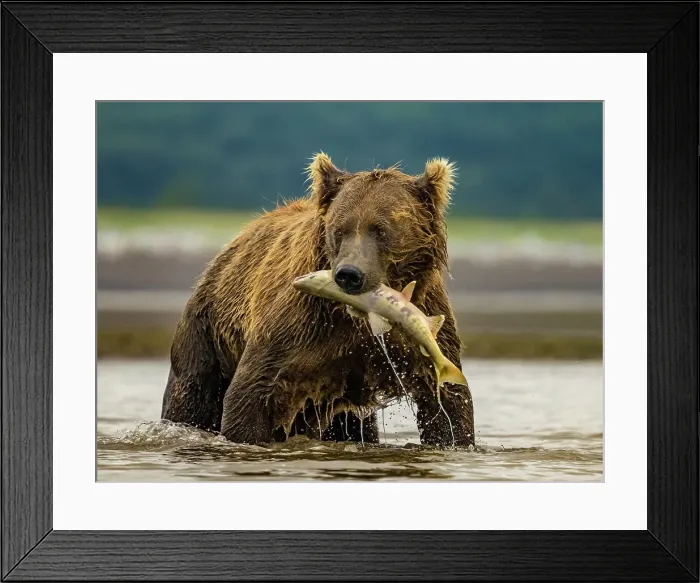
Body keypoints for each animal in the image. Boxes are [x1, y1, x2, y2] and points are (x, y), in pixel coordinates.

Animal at [160, 153, 475, 448]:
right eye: (339, 229)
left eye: (381, 229)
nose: (349, 274)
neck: (357, 318)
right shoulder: (299, 326)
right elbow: (252, 392)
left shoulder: (420, 330)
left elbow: (448, 405)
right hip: (206, 335)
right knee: (190, 396)